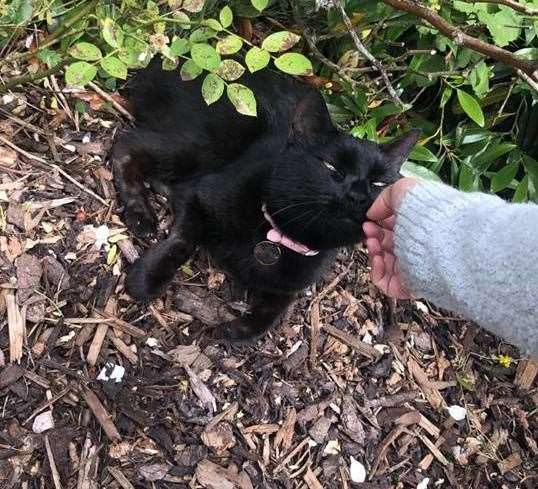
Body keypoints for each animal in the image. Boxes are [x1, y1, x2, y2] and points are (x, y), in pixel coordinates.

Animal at [111, 58, 416, 340]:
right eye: (332, 168)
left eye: (378, 183)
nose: (358, 195)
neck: (279, 236)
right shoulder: (199, 195)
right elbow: (181, 241)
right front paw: (145, 280)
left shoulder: (292, 283)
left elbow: (273, 312)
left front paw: (236, 329)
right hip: (201, 144)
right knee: (127, 146)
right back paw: (141, 215)